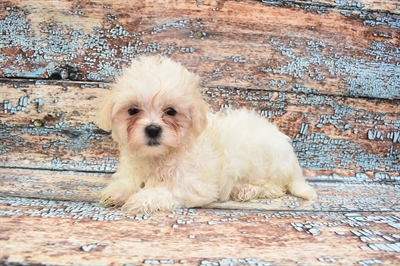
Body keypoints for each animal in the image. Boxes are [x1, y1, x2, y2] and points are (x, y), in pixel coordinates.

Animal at [96, 55, 316, 214]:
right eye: (133, 110)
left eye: (171, 111)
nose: (152, 129)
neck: (158, 157)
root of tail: (290, 154)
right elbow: (128, 180)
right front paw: (117, 191)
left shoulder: (195, 184)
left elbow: (169, 190)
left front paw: (143, 198)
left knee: (275, 187)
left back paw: (246, 189)